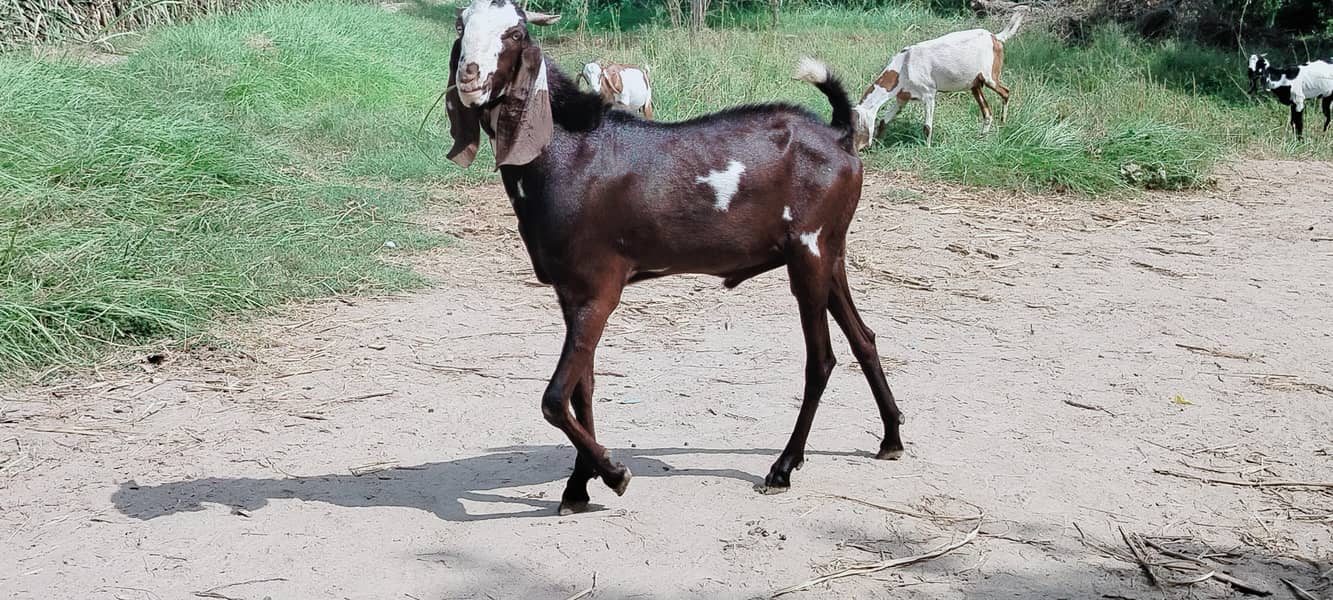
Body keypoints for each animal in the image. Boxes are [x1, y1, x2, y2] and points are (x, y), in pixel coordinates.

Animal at [446, 0, 905, 515]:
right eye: (461, 26)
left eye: (516, 34)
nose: (469, 75)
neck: (571, 153)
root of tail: (839, 136)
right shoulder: (570, 294)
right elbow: (583, 389)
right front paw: (579, 487)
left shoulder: (599, 289)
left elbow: (554, 398)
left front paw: (614, 475)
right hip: (830, 252)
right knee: (864, 338)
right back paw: (891, 439)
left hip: (809, 253)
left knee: (821, 359)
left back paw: (784, 467)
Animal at [852, 6, 1028, 148]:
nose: (857, 148)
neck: (903, 67)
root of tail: (996, 37)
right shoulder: (902, 97)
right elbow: (884, 120)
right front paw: (878, 144)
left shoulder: (929, 93)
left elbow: (927, 127)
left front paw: (927, 149)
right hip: (975, 85)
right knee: (987, 112)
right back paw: (981, 138)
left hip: (989, 76)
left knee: (1005, 92)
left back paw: (1003, 123)